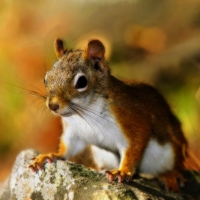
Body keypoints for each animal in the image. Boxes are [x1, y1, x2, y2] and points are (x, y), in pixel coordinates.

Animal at [29, 38, 188, 192]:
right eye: (46, 78)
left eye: (81, 82)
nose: (53, 105)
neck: (84, 113)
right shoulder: (74, 133)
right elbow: (68, 148)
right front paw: (51, 155)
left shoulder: (131, 117)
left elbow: (134, 146)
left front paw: (122, 172)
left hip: (171, 152)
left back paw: (170, 175)